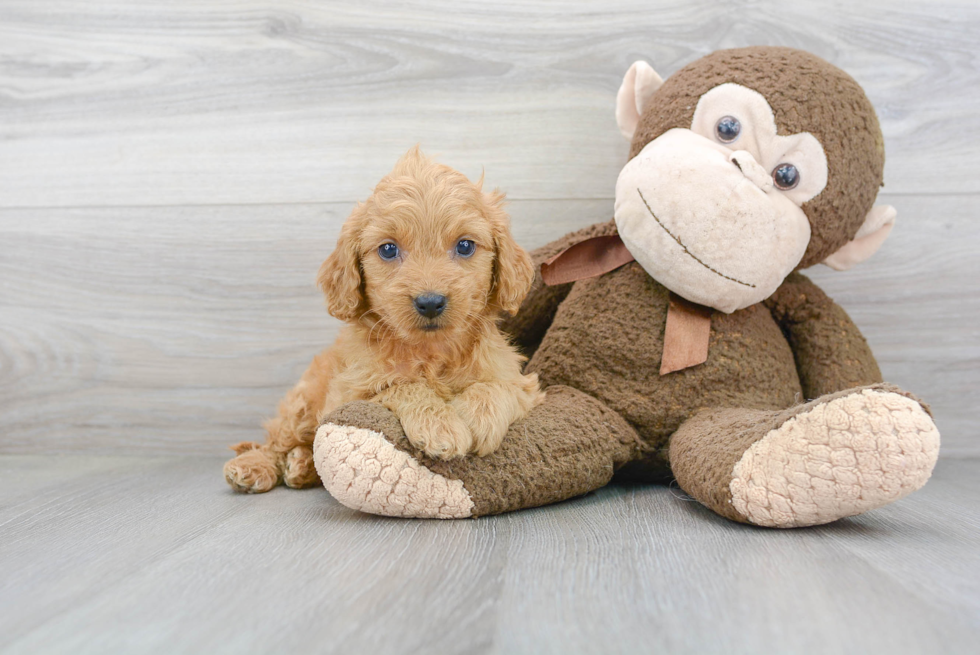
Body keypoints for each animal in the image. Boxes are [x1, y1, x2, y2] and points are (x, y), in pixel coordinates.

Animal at [224, 149, 544, 494]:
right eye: (388, 249)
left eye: (465, 246)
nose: (430, 302)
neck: (431, 353)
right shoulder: (349, 395)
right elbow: (401, 386)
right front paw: (439, 425)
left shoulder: (522, 384)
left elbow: (498, 386)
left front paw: (476, 417)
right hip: (303, 404)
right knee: (276, 440)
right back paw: (255, 466)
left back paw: (301, 466)